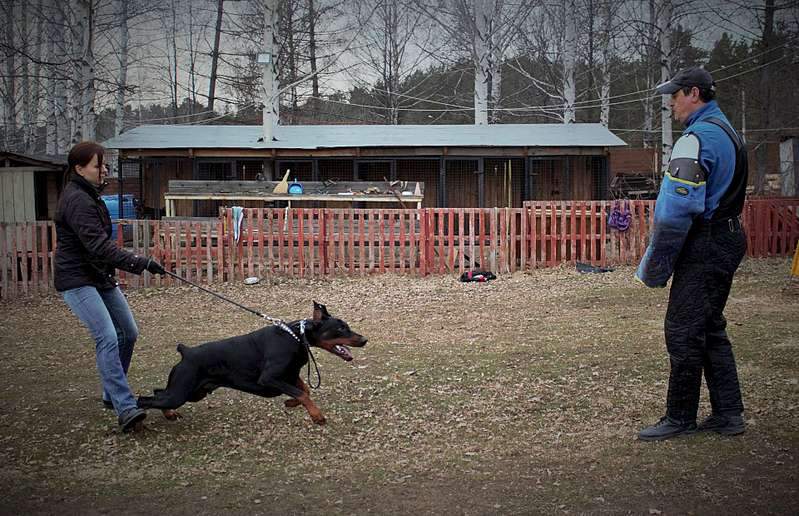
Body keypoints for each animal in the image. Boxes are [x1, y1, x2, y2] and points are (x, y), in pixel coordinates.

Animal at [140, 300, 368, 426]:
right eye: (340, 328)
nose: (364, 340)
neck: (297, 337)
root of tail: (186, 352)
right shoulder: (269, 378)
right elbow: (303, 393)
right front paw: (317, 416)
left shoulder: (291, 375)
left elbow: (304, 391)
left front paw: (290, 402)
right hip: (182, 390)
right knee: (145, 399)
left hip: (194, 392)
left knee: (158, 391)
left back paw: (169, 414)